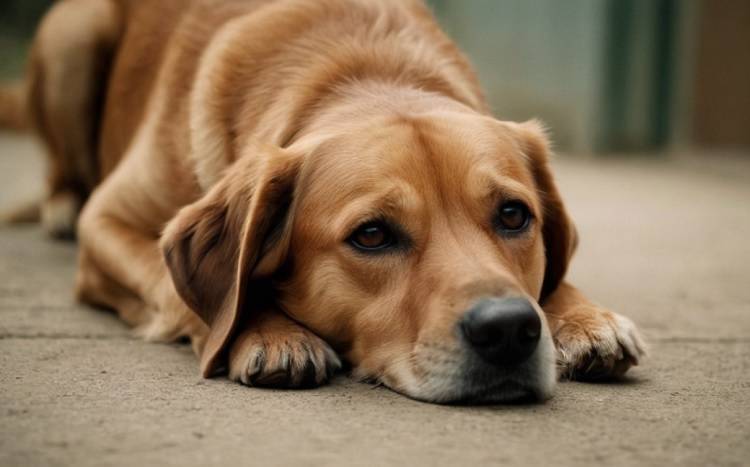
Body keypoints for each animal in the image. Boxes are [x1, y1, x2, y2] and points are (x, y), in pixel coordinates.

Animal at [0, 0, 648, 404]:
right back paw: (58, 206)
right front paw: (264, 330)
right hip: (74, 37)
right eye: (372, 234)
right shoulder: (109, 223)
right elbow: (183, 292)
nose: (510, 329)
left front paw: (584, 317)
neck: (365, 68)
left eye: (514, 216)